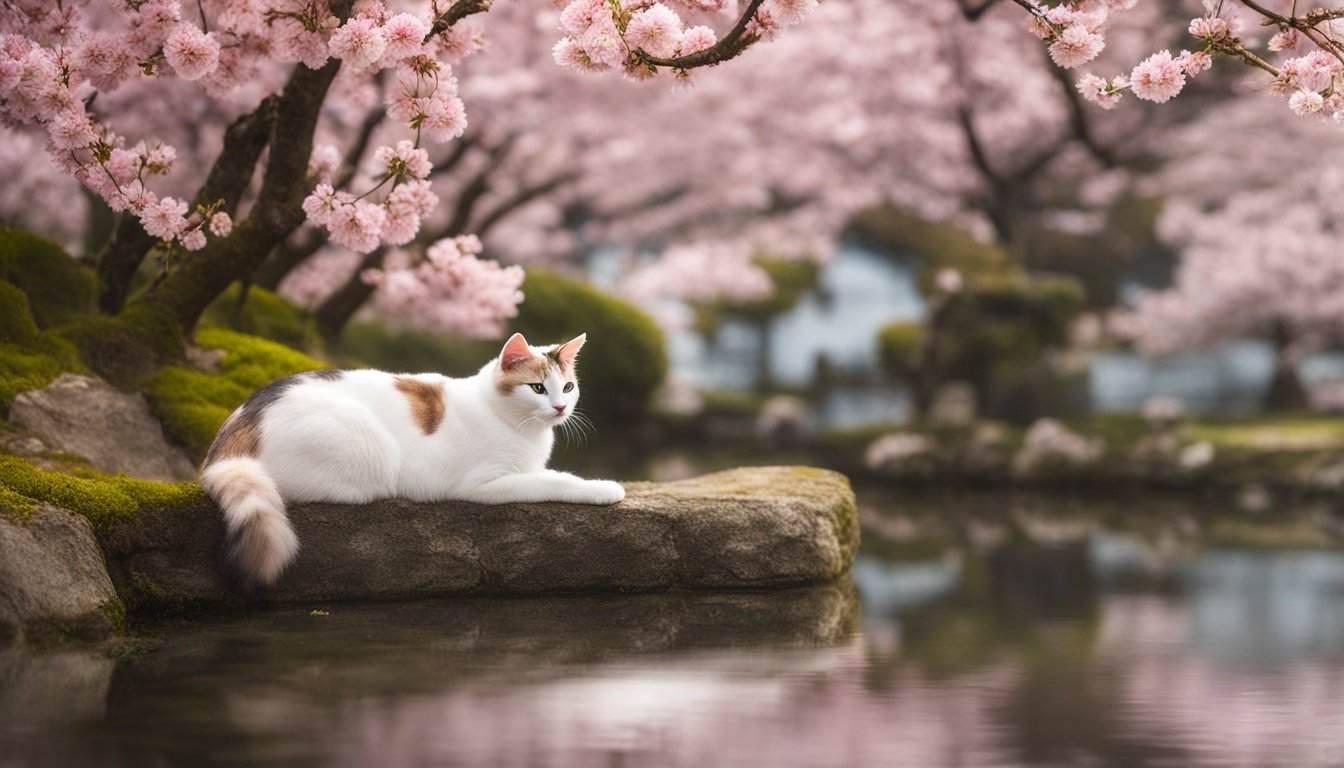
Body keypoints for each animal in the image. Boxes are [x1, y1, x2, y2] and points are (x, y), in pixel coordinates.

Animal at [197, 333, 623, 591]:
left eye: (567, 386)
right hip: (368, 450)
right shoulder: (489, 482)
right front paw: (603, 487)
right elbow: (558, 480)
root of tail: (238, 425)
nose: (560, 406)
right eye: (537, 388)